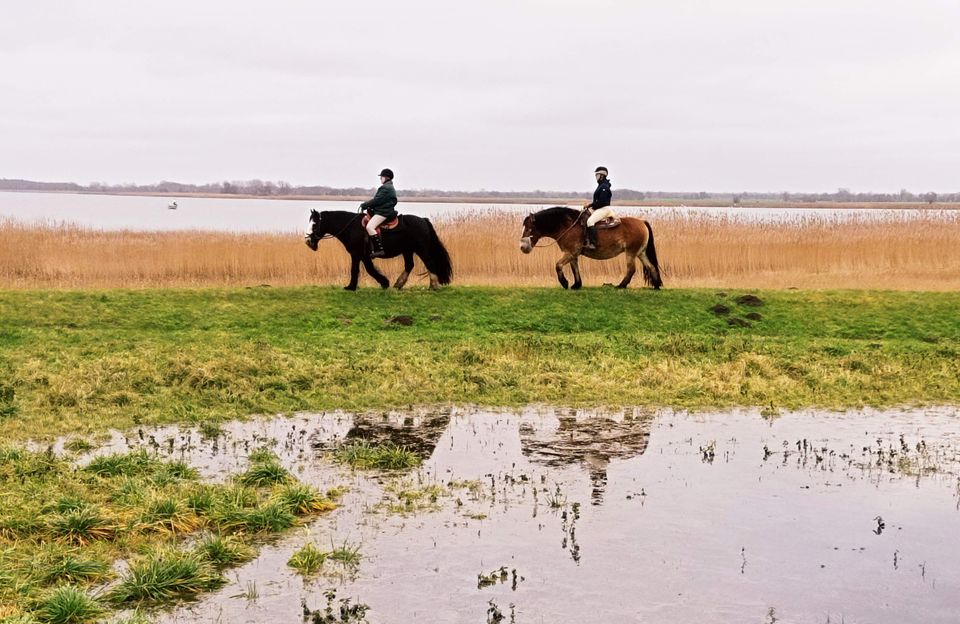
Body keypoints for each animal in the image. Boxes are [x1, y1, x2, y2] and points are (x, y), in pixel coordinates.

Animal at [306, 207, 452, 290]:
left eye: (314, 225)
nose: (308, 242)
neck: (351, 227)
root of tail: (423, 220)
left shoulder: (357, 254)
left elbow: (358, 270)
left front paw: (351, 287)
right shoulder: (362, 255)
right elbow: (367, 269)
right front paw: (384, 283)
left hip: (421, 249)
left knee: (430, 263)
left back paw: (433, 285)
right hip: (408, 250)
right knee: (409, 265)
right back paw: (398, 284)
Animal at [520, 207, 664, 290]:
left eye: (528, 229)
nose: (522, 247)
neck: (568, 225)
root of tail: (642, 222)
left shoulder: (571, 252)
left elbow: (558, 265)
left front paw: (564, 283)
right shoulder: (572, 253)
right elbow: (575, 269)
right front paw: (576, 285)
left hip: (631, 252)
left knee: (631, 269)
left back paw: (621, 286)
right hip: (640, 253)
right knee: (651, 267)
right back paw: (656, 286)